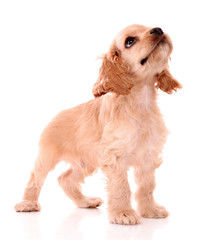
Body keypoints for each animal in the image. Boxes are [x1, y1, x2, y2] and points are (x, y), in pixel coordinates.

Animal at [14, 24, 181, 225]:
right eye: (130, 41)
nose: (158, 29)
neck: (141, 102)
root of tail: (57, 114)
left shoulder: (148, 156)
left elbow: (147, 186)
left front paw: (150, 210)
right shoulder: (114, 158)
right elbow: (121, 186)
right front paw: (123, 213)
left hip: (85, 162)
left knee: (65, 179)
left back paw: (85, 201)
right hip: (47, 157)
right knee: (35, 179)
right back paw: (27, 203)